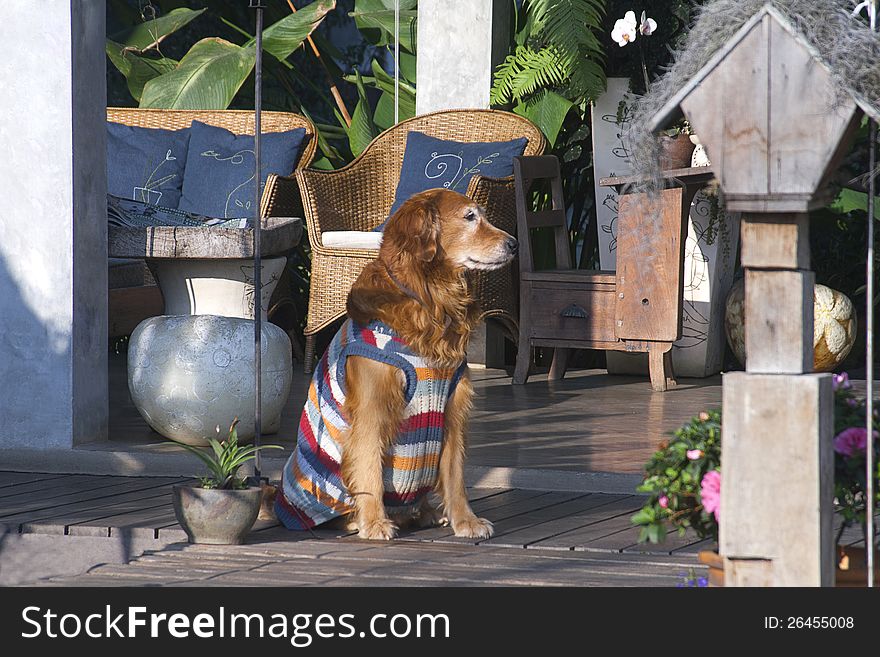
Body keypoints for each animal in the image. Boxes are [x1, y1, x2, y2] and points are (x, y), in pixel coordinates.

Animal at [276, 188, 516, 540]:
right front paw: (375, 522)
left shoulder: (454, 408)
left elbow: (456, 475)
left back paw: (427, 513)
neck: (431, 301)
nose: (514, 243)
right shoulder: (372, 409)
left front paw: (465, 521)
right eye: (470, 217)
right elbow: (370, 470)